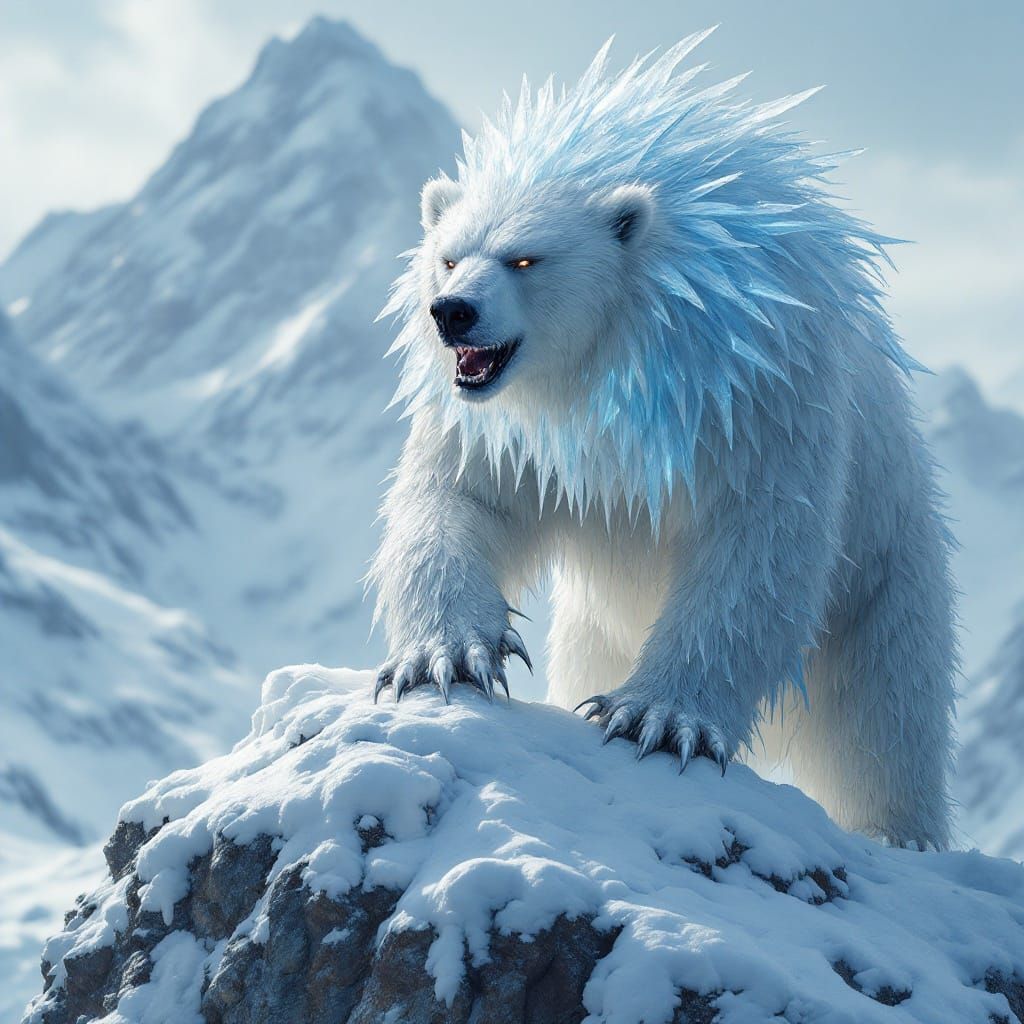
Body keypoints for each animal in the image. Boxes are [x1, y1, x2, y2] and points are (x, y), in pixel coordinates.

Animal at [369, 31, 957, 850]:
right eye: (449, 254)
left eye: (525, 257)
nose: (451, 311)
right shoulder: (504, 427)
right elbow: (459, 499)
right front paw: (446, 654)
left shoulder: (758, 393)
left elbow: (757, 548)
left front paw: (656, 716)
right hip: (593, 627)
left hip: (885, 579)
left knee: (883, 721)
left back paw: (897, 832)